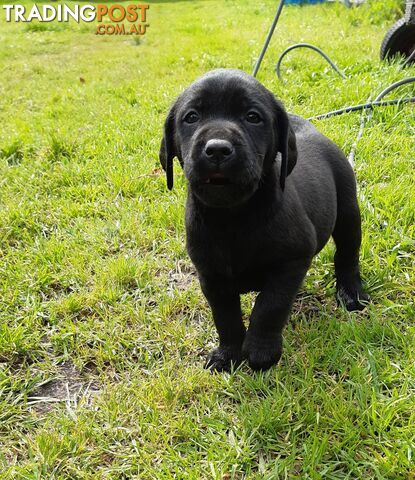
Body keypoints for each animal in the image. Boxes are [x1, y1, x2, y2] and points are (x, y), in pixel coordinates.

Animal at [159, 68, 368, 372]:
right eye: (191, 117)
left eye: (252, 117)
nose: (218, 149)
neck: (233, 216)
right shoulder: (211, 275)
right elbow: (226, 318)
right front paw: (228, 353)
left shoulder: (292, 261)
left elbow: (270, 306)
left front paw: (261, 351)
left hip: (348, 214)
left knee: (347, 254)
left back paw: (351, 291)